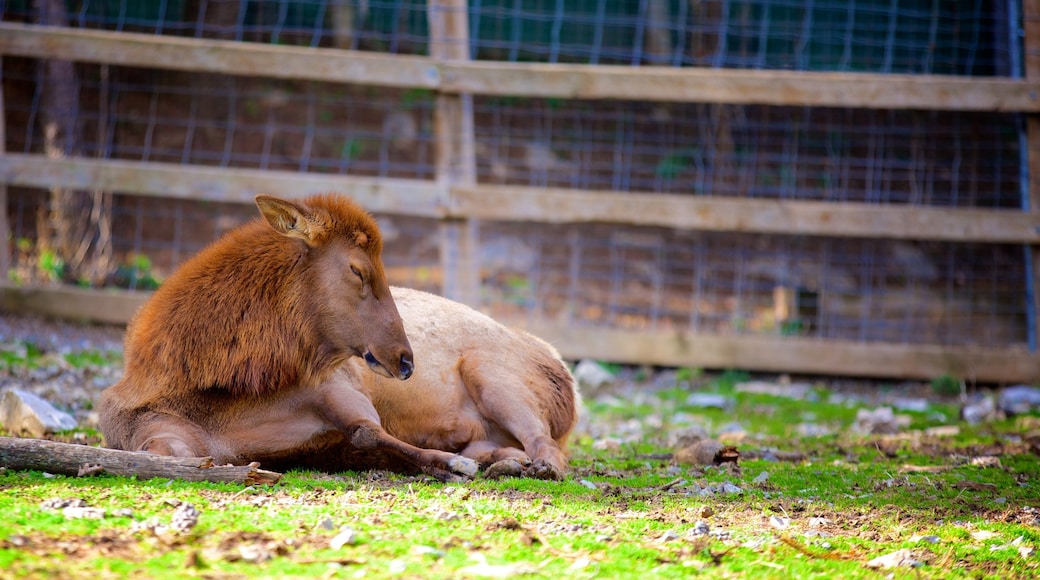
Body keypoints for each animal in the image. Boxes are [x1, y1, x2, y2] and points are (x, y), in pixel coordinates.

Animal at [99, 194, 578, 482]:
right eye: (358, 270)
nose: (406, 359)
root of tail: (562, 371)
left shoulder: (338, 387)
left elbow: (367, 431)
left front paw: (450, 464)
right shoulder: (148, 431)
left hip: (492, 374)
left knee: (549, 447)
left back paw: (534, 466)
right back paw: (506, 460)